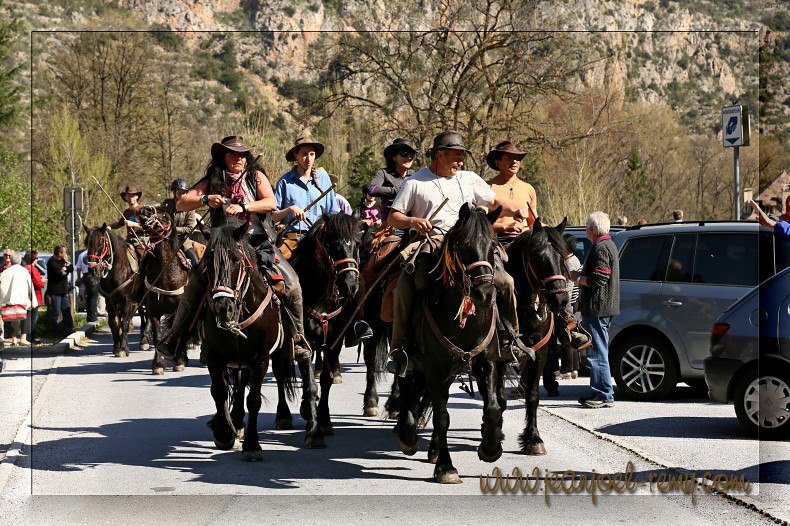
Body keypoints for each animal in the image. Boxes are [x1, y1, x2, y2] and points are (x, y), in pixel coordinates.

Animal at [86, 225, 143, 360]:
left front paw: (123, 348)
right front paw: (117, 347)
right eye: (87, 243)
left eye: (101, 243)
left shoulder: (127, 300)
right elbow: (113, 322)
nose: (92, 268)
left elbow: (125, 323)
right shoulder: (110, 300)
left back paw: (145, 341)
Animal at [136, 206, 190, 376]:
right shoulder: (153, 311)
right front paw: (158, 365)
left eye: (165, 216)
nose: (144, 209)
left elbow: (176, 332)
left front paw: (179, 361)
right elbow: (157, 335)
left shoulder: (178, 310)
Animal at [288, 213, 366, 438]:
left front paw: (324, 420)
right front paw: (312, 423)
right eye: (332, 244)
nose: (350, 284)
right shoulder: (303, 340)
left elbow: (326, 380)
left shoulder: (334, 340)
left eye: (358, 243)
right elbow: (309, 383)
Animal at [392, 204, 504, 484]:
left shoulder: (487, 361)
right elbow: (442, 416)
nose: (485, 293)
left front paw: (490, 448)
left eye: (494, 246)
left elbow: (493, 407)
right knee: (408, 388)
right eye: (464, 246)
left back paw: (431, 448)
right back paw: (408, 435)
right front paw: (446, 467)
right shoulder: (432, 367)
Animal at [504, 220, 572, 458]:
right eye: (535, 257)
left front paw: (533, 439)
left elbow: (532, 395)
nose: (560, 300)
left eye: (563, 256)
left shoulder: (538, 352)